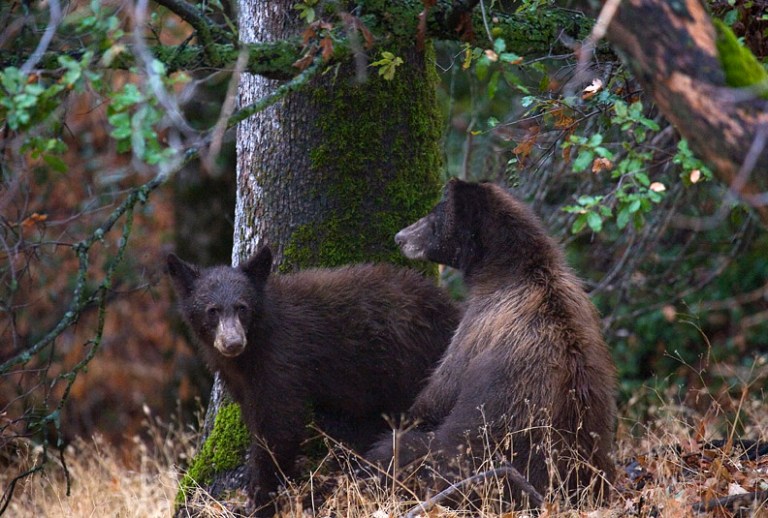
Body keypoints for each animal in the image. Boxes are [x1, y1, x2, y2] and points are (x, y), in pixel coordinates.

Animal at [167, 246, 460, 514]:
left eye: (242, 308)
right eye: (212, 310)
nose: (232, 343)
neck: (254, 345)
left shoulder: (282, 360)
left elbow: (279, 426)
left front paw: (260, 500)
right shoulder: (241, 379)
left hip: (413, 367)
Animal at [367, 178, 617, 507]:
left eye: (434, 216)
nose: (400, 237)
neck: (505, 270)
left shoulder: (475, 328)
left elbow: (438, 392)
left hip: (467, 458)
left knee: (400, 451)